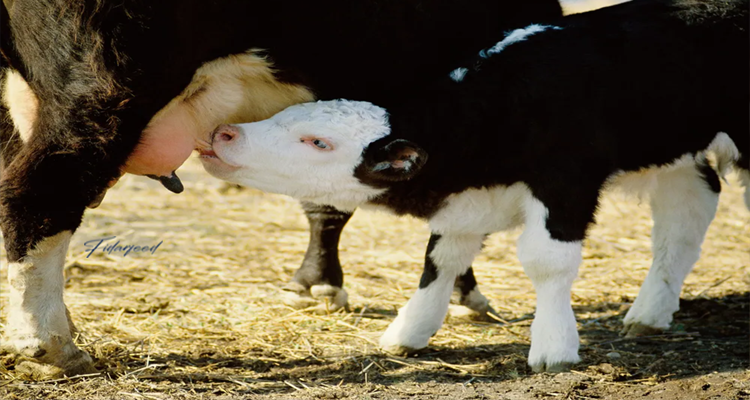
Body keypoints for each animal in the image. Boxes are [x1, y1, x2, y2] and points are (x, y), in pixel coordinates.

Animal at [200, 0, 750, 372]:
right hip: (677, 152)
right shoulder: (464, 203)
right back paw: (650, 313)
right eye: (286, 116)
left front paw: (554, 347)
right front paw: (408, 331)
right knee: (689, 212)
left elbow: (547, 263)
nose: (223, 134)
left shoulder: (565, 185)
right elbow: (439, 259)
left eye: (317, 141)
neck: (502, 108)